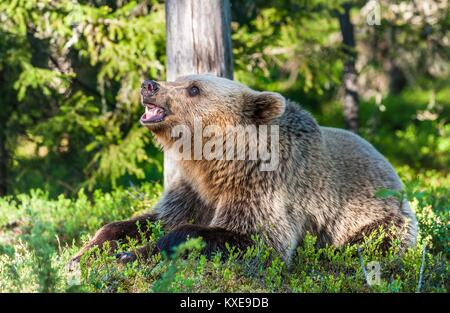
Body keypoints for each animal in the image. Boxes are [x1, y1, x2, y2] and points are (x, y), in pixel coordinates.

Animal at [71, 74, 418, 262]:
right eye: (177, 78)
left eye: (193, 88)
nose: (149, 85)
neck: (218, 162)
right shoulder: (193, 189)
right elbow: (153, 218)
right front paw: (85, 251)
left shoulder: (264, 185)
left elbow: (252, 237)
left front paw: (131, 254)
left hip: (377, 217)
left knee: (373, 242)